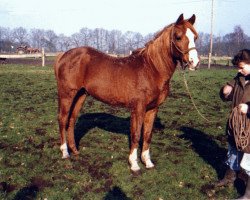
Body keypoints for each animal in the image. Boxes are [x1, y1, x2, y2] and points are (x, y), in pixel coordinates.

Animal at [54, 14, 199, 174]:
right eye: (178, 37)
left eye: (195, 37)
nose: (195, 62)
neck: (151, 69)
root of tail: (63, 55)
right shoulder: (138, 108)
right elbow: (135, 135)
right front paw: (134, 164)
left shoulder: (152, 109)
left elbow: (147, 135)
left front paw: (147, 162)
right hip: (67, 95)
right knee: (63, 119)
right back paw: (65, 152)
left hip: (81, 95)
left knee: (72, 120)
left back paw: (75, 150)